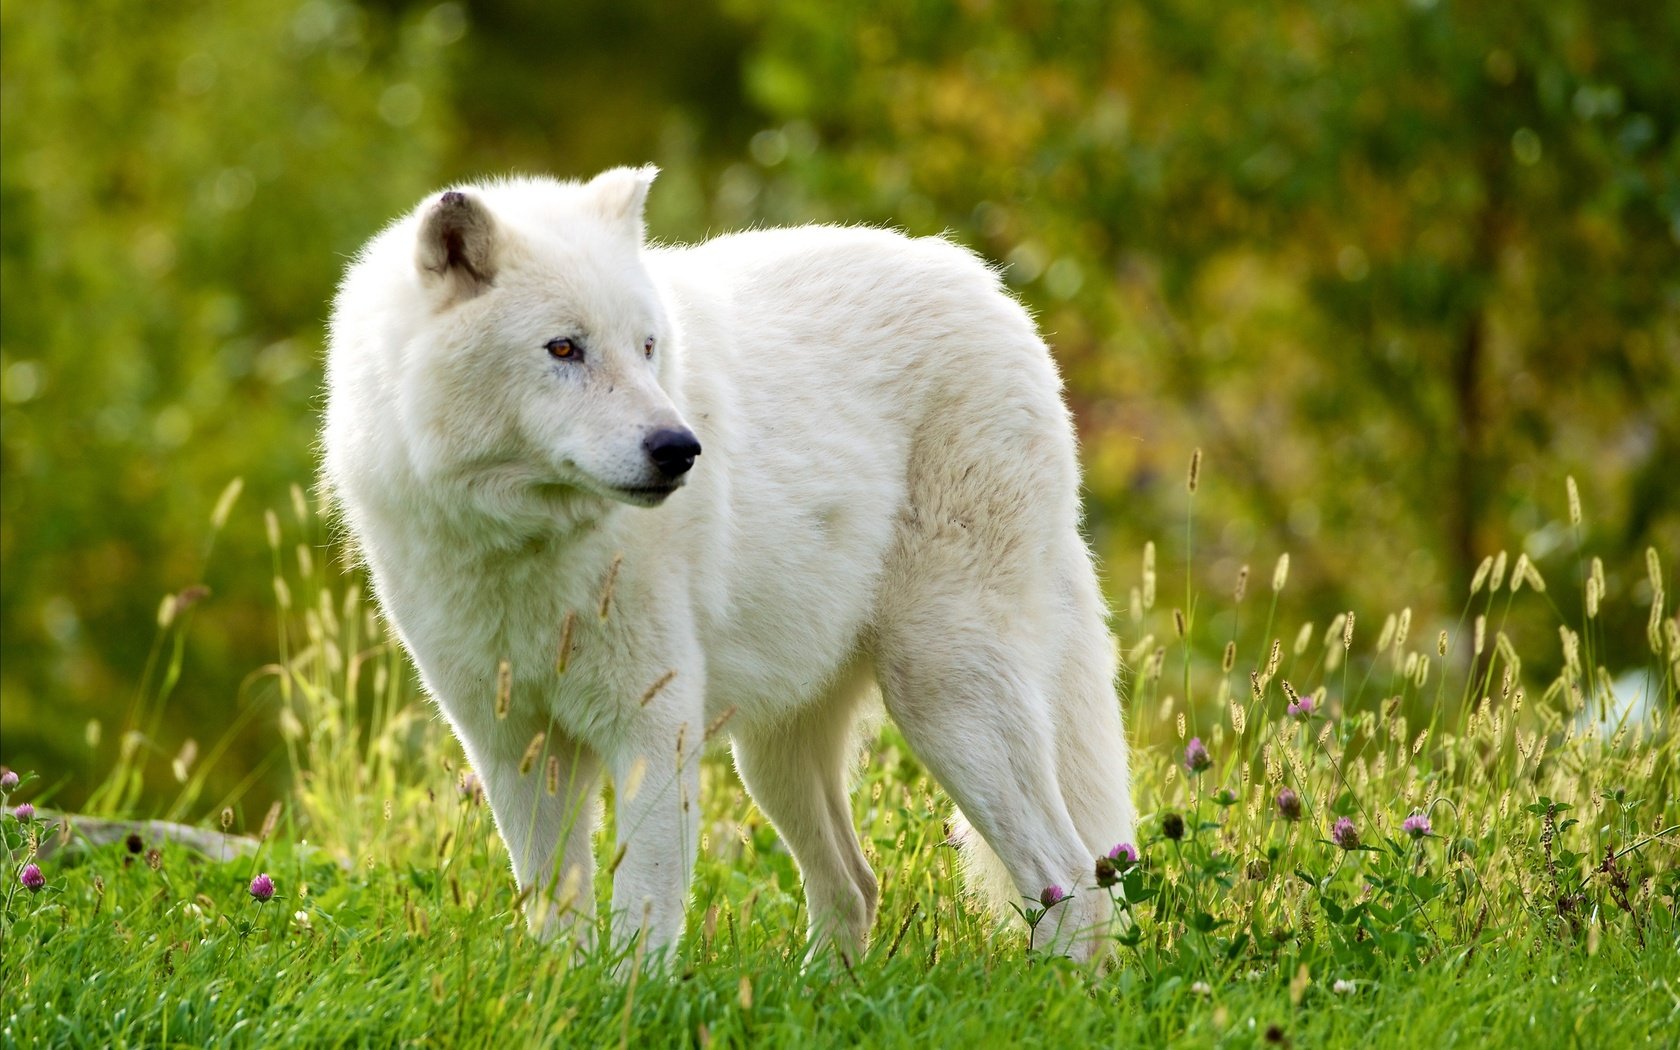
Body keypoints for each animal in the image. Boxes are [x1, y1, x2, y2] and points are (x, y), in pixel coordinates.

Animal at [320, 163, 1135, 960]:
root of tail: (997, 295)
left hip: (942, 694)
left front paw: (625, 997)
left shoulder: (653, 732)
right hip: (773, 752)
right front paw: (558, 992)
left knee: (1072, 877)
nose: (680, 449)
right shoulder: (513, 746)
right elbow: (556, 920)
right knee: (856, 885)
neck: (524, 547)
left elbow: (640, 925)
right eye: (564, 348)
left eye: (648, 346)